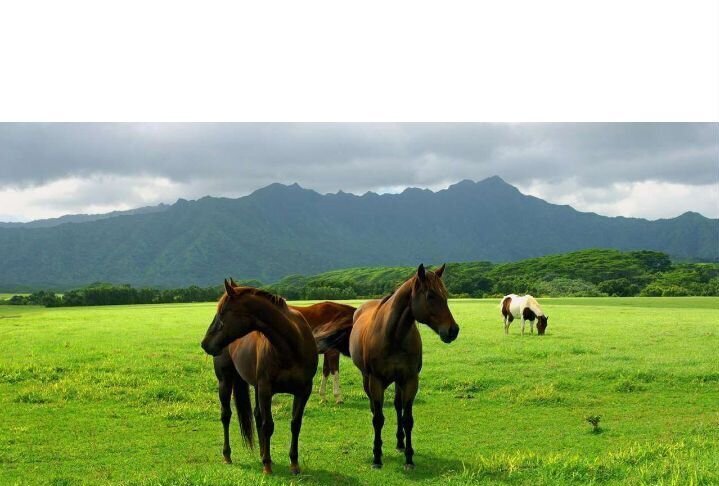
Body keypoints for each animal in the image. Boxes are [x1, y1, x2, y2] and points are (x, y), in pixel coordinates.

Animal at [201, 280, 316, 474]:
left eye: (222, 312)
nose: (205, 344)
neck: (291, 346)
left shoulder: (304, 390)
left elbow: (295, 424)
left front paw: (294, 463)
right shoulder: (265, 389)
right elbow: (268, 425)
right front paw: (267, 466)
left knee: (256, 415)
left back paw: (262, 453)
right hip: (225, 382)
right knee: (226, 415)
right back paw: (228, 455)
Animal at [316, 264, 462, 468]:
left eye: (446, 294)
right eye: (430, 296)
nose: (453, 330)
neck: (393, 336)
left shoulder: (410, 380)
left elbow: (407, 418)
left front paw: (409, 457)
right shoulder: (376, 381)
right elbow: (378, 418)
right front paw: (377, 457)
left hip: (398, 381)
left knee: (397, 406)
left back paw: (400, 443)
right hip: (367, 379)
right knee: (374, 408)